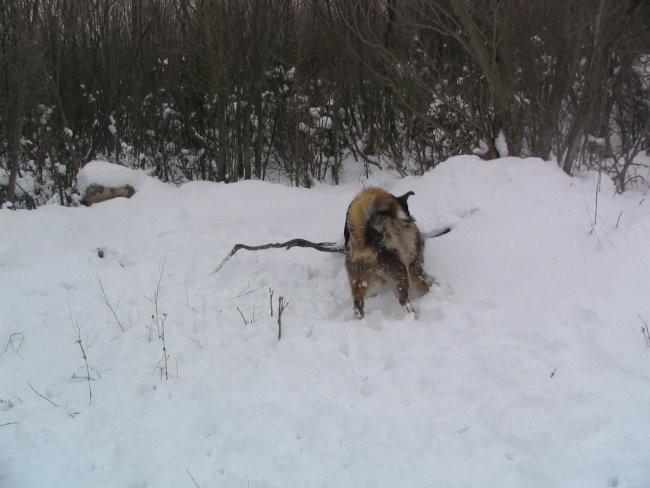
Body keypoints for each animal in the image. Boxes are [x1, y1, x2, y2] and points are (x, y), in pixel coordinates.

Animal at [342, 186, 432, 316]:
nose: (409, 218)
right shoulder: (413, 265)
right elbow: (424, 282)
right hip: (400, 272)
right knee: (404, 301)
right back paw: (414, 316)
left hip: (359, 278)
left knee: (358, 305)